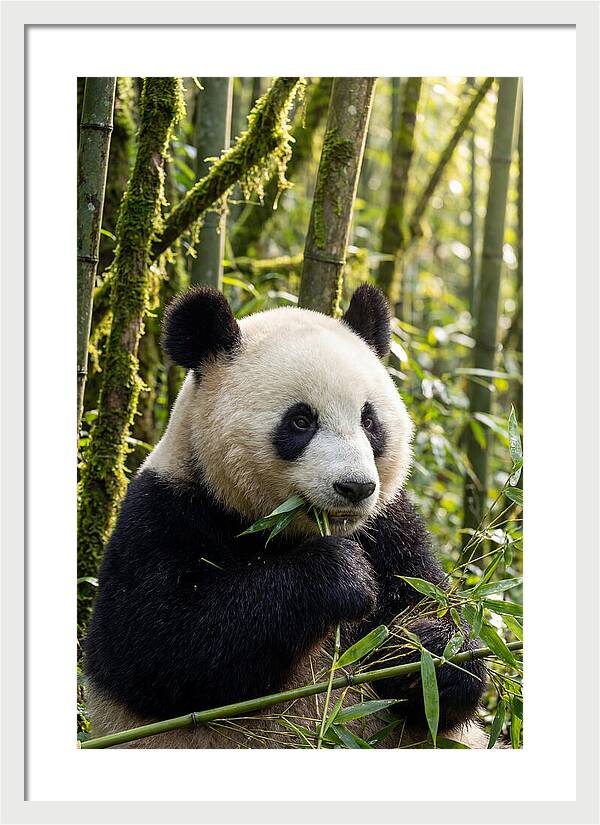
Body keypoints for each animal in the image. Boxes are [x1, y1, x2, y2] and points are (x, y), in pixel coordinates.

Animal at [85, 284, 487, 748]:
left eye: (369, 421)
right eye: (300, 421)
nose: (354, 488)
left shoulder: (390, 527)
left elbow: (437, 615)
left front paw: (425, 652)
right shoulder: (164, 514)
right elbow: (161, 648)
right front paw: (340, 575)